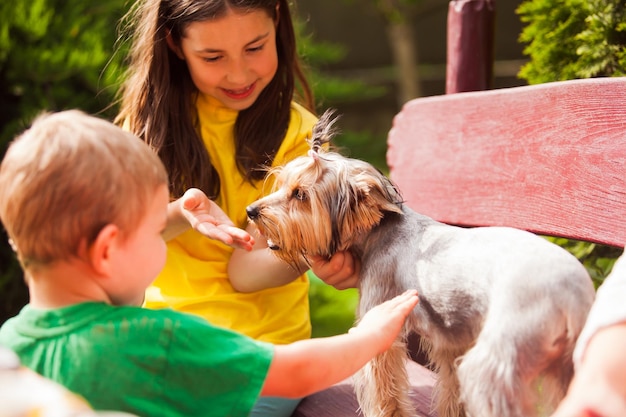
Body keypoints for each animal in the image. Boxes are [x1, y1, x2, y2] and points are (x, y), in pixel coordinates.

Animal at [245, 110, 596, 416]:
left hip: (501, 356)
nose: (251, 211)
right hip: (565, 367)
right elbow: (452, 391)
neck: (378, 231)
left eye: (300, 195)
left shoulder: (381, 326)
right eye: (281, 185)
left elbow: (386, 393)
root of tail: (573, 295)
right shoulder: (452, 341)